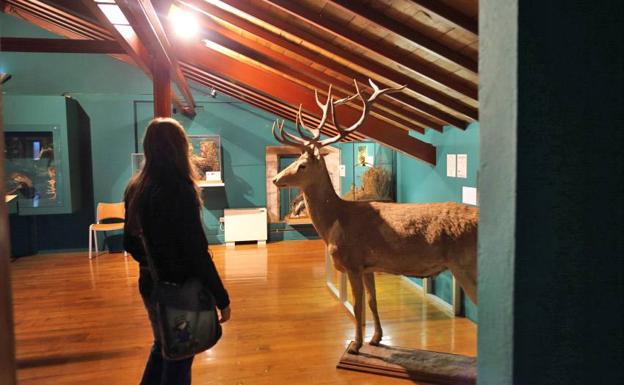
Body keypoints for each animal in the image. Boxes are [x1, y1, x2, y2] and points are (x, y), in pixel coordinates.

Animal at [272, 79, 478, 354]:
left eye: (302, 165)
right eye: (294, 159)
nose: (276, 179)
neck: (336, 221)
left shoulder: (352, 261)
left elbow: (357, 305)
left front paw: (355, 344)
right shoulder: (369, 265)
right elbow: (372, 300)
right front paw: (376, 338)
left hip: (466, 265)